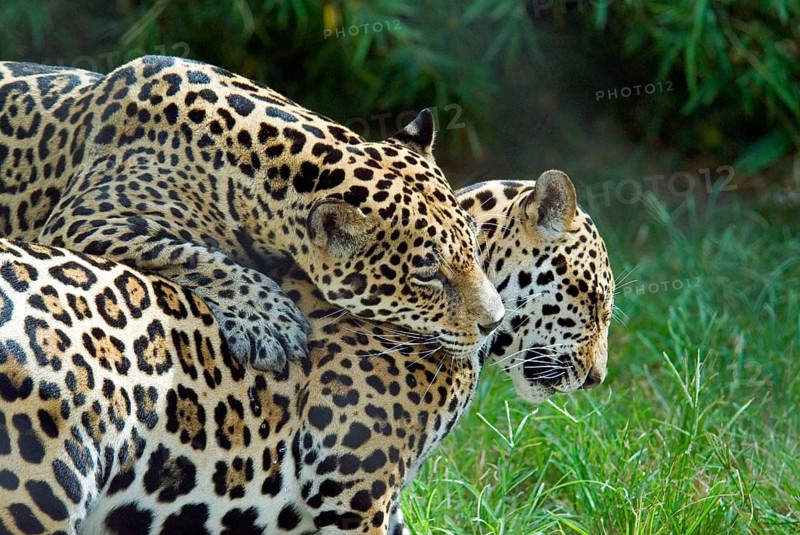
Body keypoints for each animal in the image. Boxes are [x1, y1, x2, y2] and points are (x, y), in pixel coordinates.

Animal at [0, 56, 505, 374]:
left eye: (474, 248)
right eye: (428, 274)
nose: (495, 323)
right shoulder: (87, 216)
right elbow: (195, 255)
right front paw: (271, 322)